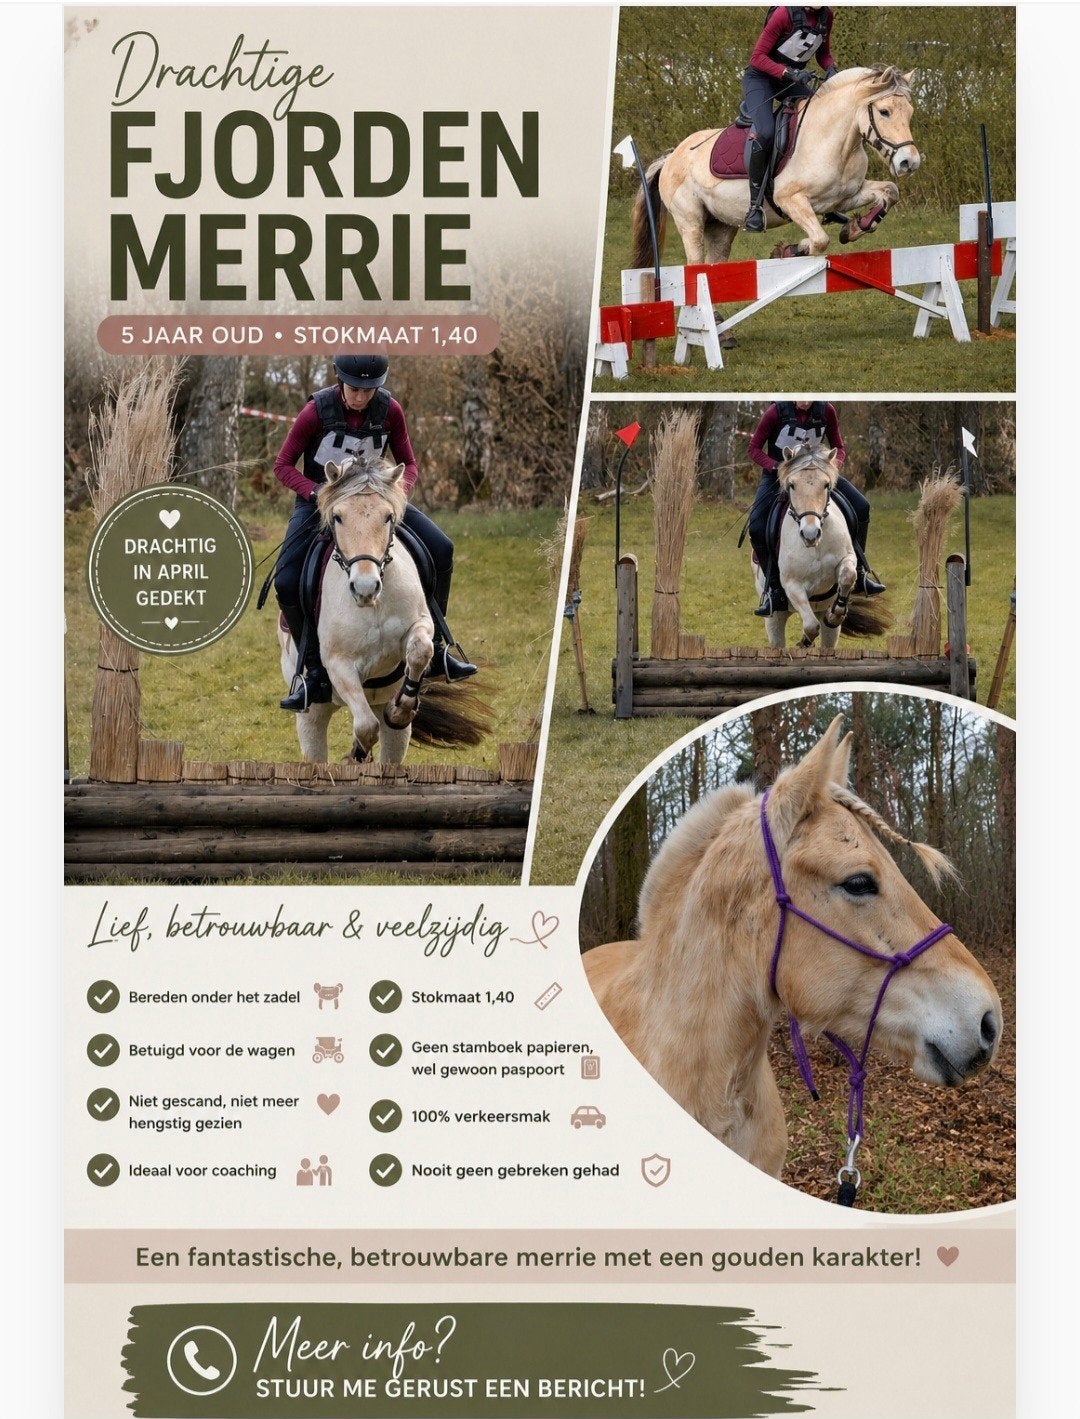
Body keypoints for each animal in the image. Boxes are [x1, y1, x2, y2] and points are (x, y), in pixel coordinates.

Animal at [630, 67, 920, 275]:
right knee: (695, 264)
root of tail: (670, 157)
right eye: (884, 111)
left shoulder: (844, 197)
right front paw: (790, 250)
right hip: (690, 221)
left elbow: (889, 191)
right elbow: (819, 240)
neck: (833, 141)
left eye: (910, 112)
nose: (910, 162)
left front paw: (856, 227)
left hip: (721, 225)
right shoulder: (790, 200)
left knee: (715, 262)